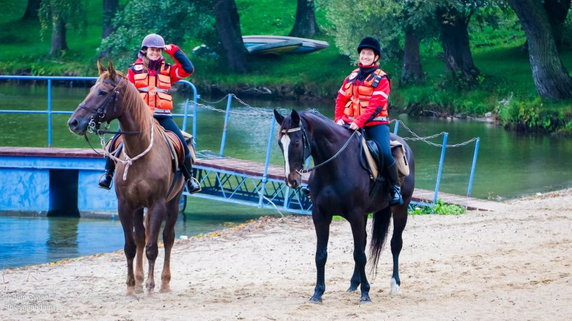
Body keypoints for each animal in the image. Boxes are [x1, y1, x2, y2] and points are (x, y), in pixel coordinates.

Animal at [67, 61, 184, 294]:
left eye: (102, 92)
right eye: (91, 89)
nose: (74, 122)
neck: (140, 151)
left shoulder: (157, 204)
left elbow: (152, 247)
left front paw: (150, 285)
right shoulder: (125, 205)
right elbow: (130, 246)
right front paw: (131, 285)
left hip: (173, 203)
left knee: (167, 238)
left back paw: (164, 282)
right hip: (139, 207)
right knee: (140, 238)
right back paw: (138, 280)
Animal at [274, 109, 416, 302]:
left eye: (296, 142)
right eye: (280, 143)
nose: (291, 180)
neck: (335, 165)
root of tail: (405, 146)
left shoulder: (355, 215)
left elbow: (360, 255)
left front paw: (366, 293)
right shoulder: (320, 215)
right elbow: (321, 255)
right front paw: (318, 293)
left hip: (400, 209)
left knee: (395, 244)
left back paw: (394, 284)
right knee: (364, 241)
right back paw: (354, 283)